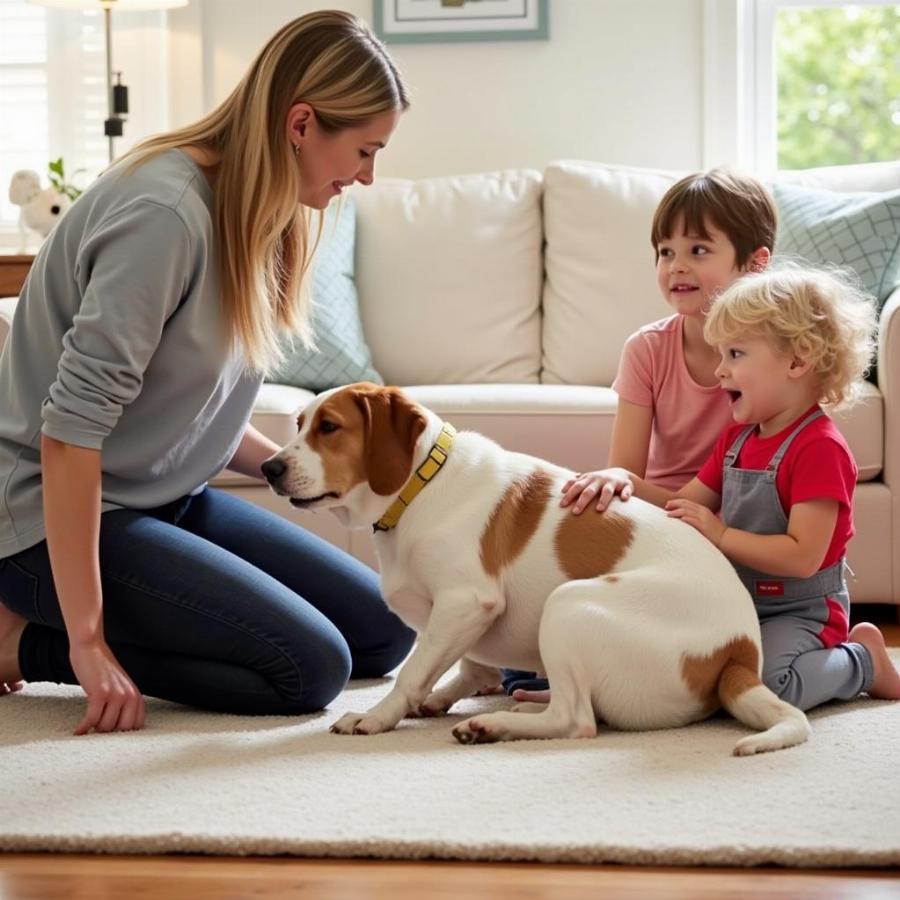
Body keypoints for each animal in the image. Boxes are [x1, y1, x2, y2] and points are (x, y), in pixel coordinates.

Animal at [260, 384, 808, 756]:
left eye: (329, 427)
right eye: (299, 424)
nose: (268, 468)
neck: (419, 486)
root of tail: (739, 652)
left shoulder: (465, 602)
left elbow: (412, 672)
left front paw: (376, 717)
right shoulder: (461, 621)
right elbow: (464, 667)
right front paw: (439, 697)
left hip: (567, 605)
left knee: (576, 721)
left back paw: (495, 725)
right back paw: (519, 705)